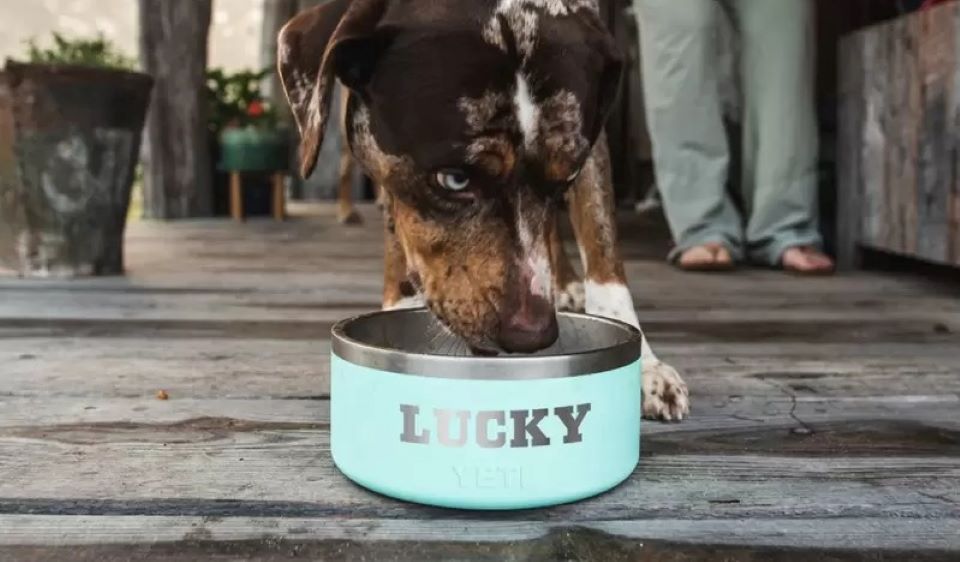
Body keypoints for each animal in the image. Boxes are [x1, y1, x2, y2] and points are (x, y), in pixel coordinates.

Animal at [278, 0, 688, 420]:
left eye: (567, 177)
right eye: (454, 179)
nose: (531, 336)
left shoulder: (586, 142)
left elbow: (600, 238)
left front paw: (645, 365)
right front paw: (401, 301)